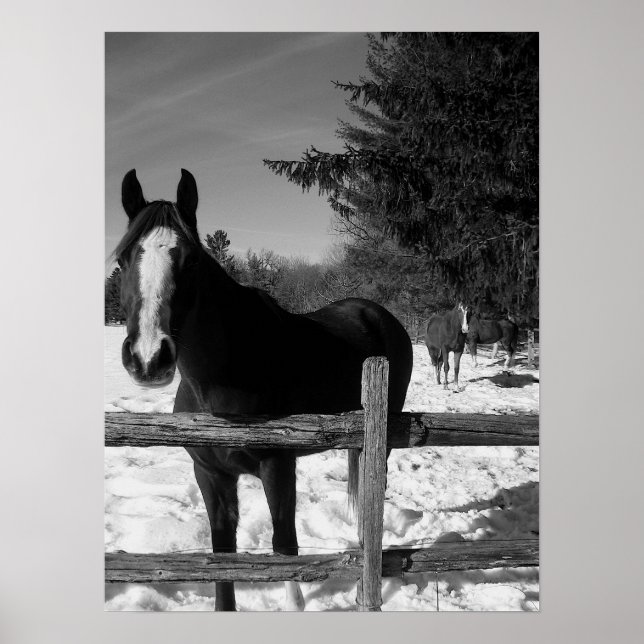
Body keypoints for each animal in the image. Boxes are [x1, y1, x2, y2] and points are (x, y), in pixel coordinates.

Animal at [114, 169, 413, 611]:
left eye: (192, 261)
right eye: (121, 260)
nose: (148, 357)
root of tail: (378, 314)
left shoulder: (278, 467)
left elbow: (284, 547)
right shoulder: (211, 475)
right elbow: (223, 557)